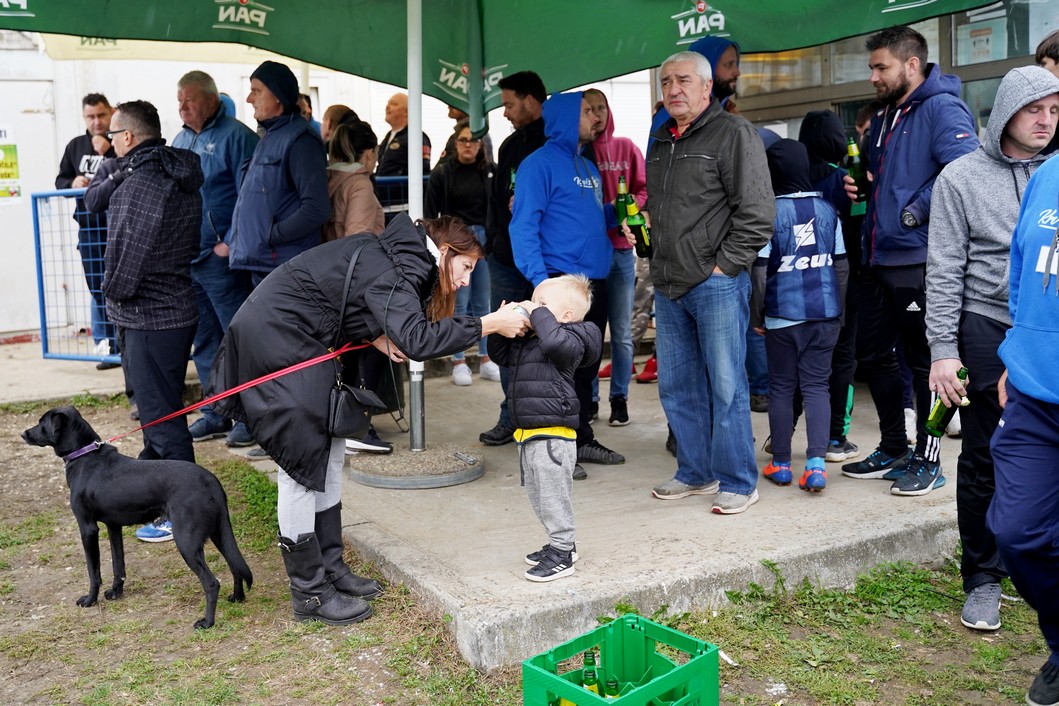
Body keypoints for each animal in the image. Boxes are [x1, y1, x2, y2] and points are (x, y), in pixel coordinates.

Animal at [21, 408, 253, 630]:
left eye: (42, 423)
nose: (23, 434)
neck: (85, 455)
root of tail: (211, 481)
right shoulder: (113, 527)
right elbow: (118, 565)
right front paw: (116, 592)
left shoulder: (88, 528)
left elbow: (93, 571)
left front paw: (90, 600)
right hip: (218, 533)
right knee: (235, 565)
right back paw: (237, 597)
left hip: (186, 541)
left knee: (212, 583)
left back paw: (207, 623)